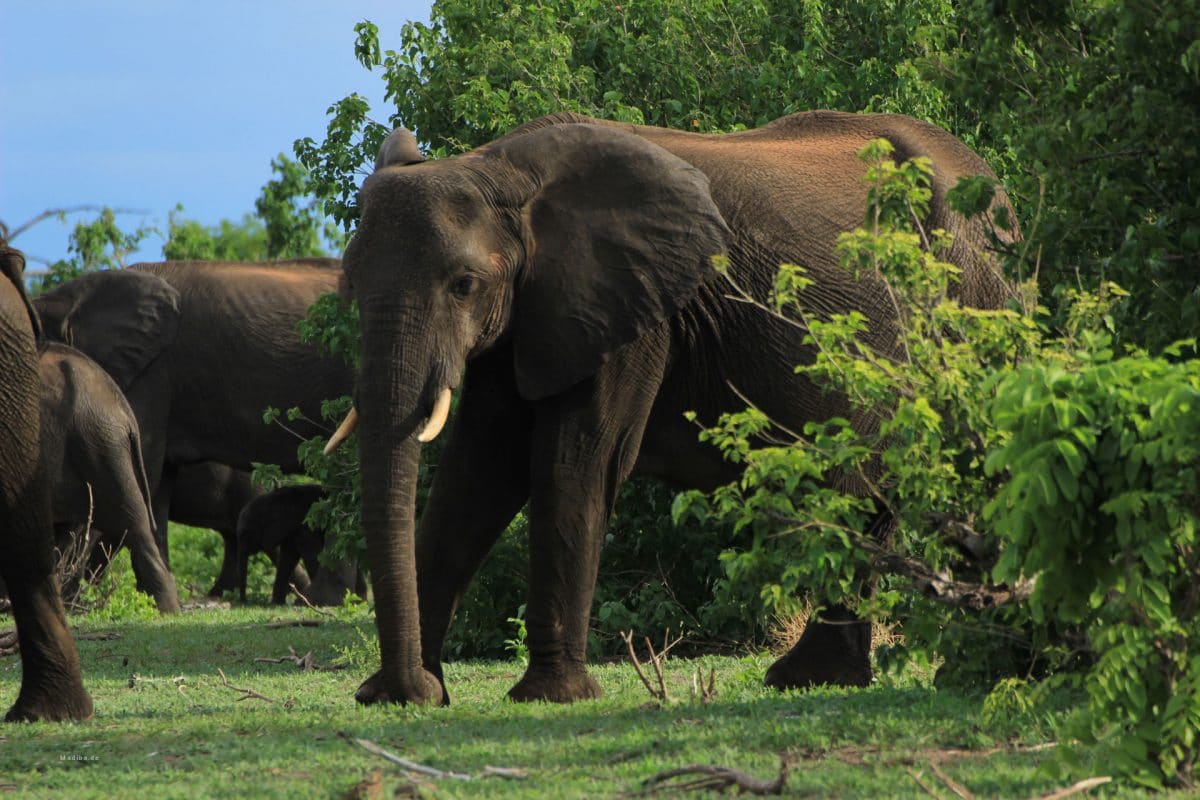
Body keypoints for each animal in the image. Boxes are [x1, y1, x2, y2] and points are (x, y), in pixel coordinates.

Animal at [331, 109, 1022, 705]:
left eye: (464, 285)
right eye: (350, 282)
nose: (412, 689)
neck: (501, 170)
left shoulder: (633, 309)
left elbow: (577, 463)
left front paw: (552, 697)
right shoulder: (534, 314)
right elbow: (480, 471)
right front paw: (397, 695)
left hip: (979, 305)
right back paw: (823, 679)